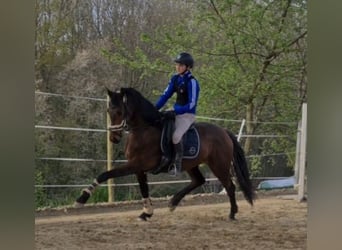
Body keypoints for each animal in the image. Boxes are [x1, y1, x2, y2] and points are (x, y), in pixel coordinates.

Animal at [75, 87, 256, 220]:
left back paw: (232, 213)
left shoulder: (135, 165)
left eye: (119, 112)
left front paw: (82, 198)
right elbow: (144, 189)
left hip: (219, 165)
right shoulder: (139, 168)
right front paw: (146, 213)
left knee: (230, 186)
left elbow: (105, 175)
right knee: (199, 180)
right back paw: (173, 203)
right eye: (108, 111)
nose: (114, 138)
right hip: (191, 164)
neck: (143, 130)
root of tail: (223, 132)